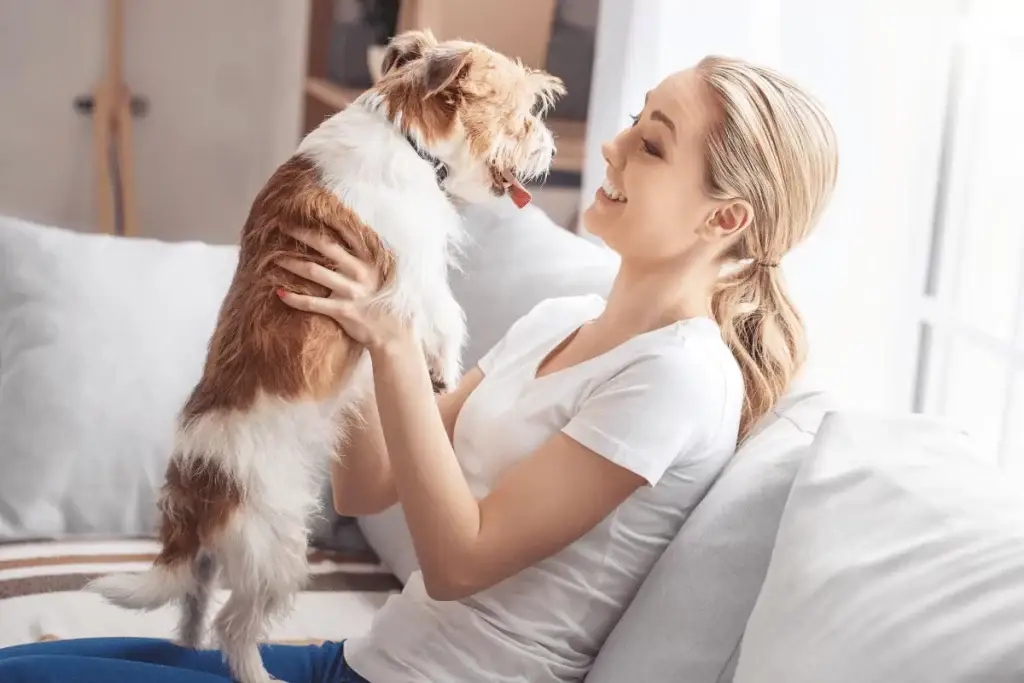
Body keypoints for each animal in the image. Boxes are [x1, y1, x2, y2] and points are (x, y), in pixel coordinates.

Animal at [87, 30, 565, 683]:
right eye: (521, 114)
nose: (551, 146)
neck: (406, 136)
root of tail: (201, 491)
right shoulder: (414, 274)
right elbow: (447, 314)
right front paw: (443, 367)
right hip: (277, 549)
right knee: (234, 627)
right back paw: (256, 672)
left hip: (217, 561)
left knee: (193, 601)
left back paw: (183, 649)